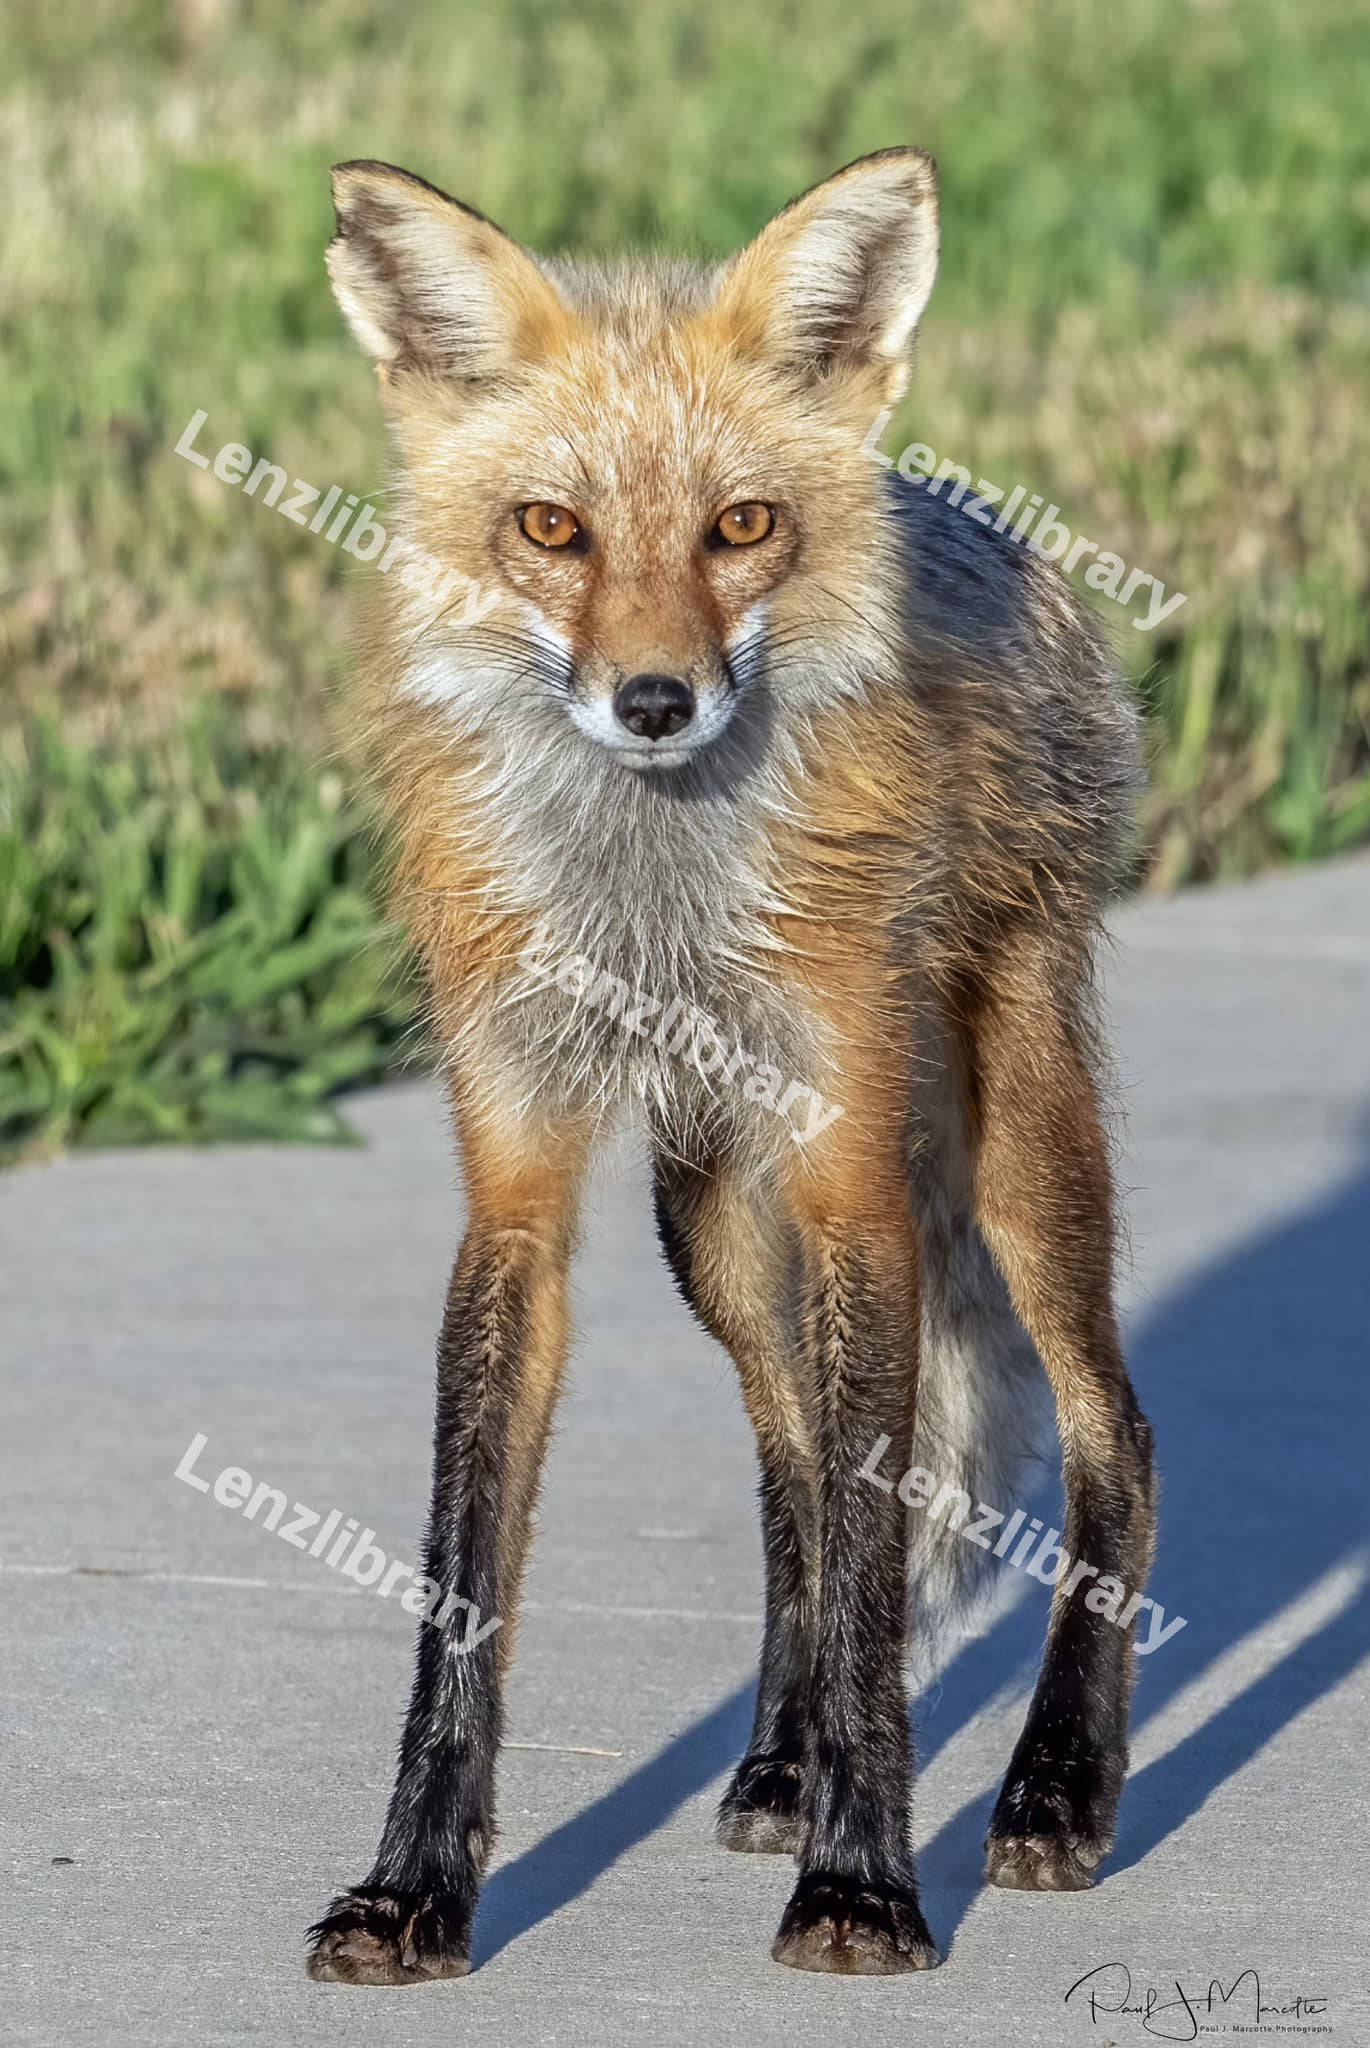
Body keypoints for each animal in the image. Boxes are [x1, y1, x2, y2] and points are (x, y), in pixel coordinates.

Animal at [304, 146, 1156, 1983]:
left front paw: (864, 1883)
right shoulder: (520, 1185)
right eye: (550, 527)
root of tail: (979, 517)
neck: (653, 902)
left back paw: (1058, 1783)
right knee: (791, 1474)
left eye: (742, 525)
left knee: (1111, 1432)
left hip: (1013, 1144)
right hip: (706, 1218)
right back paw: (782, 1755)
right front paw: (414, 1889)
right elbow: (470, 1580)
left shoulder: (852, 1185)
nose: (653, 699)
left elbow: (880, 1559)